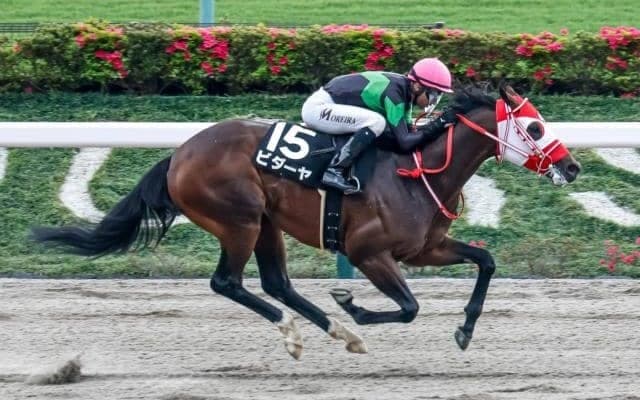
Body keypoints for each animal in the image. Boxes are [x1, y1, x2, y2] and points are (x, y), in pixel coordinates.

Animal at [32, 85, 581, 360]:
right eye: (535, 127)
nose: (572, 167)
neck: (419, 170)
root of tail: (178, 155)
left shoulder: (424, 248)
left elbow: (485, 261)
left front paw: (465, 329)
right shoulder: (368, 252)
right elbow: (408, 308)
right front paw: (354, 306)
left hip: (265, 223)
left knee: (276, 282)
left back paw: (336, 332)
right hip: (239, 219)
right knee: (227, 282)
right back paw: (305, 332)